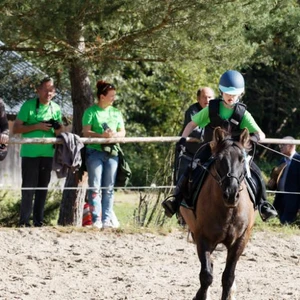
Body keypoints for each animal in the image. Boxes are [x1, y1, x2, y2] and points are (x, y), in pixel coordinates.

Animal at [180, 127, 255, 300]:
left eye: (242, 159)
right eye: (220, 160)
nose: (231, 194)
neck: (227, 211)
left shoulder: (240, 240)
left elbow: (228, 276)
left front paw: (229, 292)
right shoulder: (202, 238)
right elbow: (206, 275)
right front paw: (200, 296)